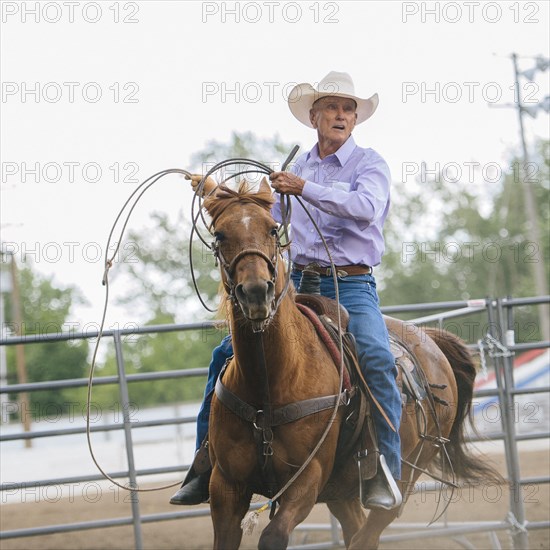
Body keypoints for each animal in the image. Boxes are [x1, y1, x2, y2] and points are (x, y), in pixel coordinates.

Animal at [202, 179, 500, 548]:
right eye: (220, 235)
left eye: (272, 229)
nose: (256, 292)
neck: (271, 382)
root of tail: (431, 341)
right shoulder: (225, 487)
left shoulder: (307, 479)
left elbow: (273, 536)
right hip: (342, 491)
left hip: (402, 481)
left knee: (367, 534)